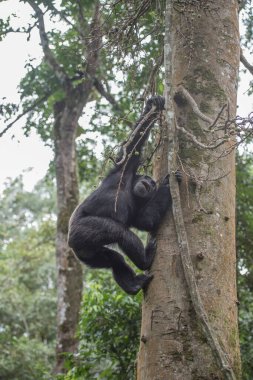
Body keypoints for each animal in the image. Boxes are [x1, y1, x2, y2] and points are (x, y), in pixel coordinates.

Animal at [67, 95, 176, 294]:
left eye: (152, 184)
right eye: (148, 179)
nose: (150, 185)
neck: (131, 192)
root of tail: (72, 246)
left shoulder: (138, 209)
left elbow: (145, 220)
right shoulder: (123, 171)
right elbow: (134, 144)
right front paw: (154, 105)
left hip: (89, 255)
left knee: (113, 260)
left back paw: (133, 284)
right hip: (82, 230)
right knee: (118, 232)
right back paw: (145, 260)